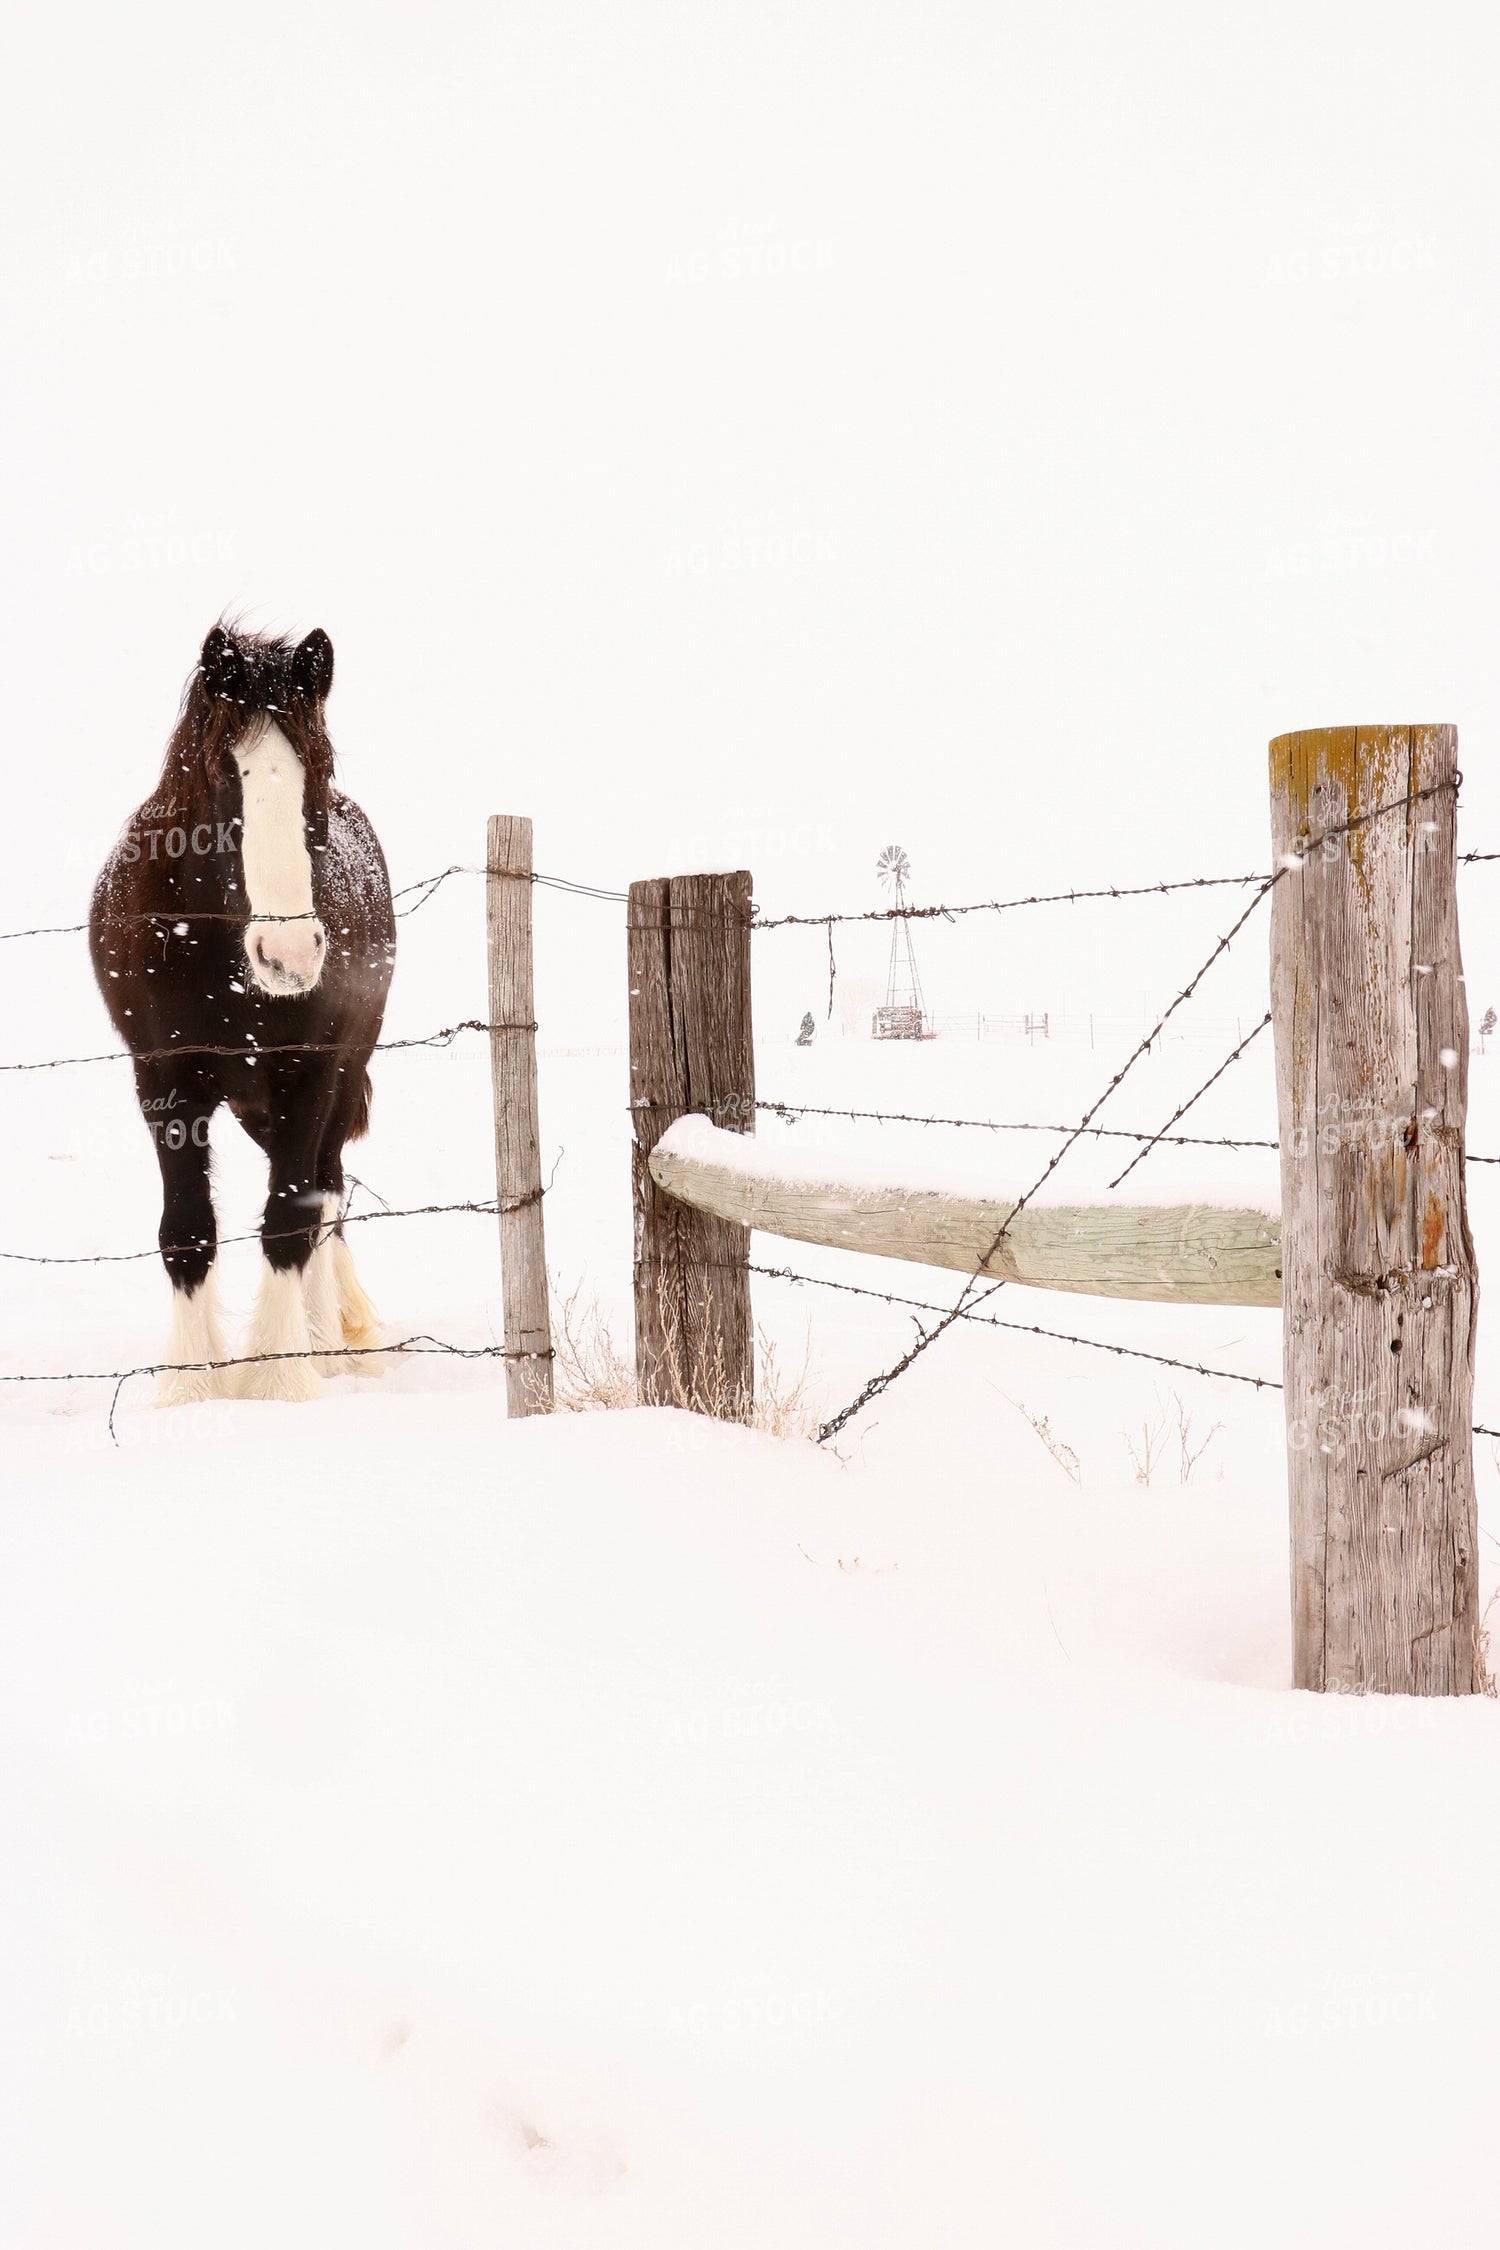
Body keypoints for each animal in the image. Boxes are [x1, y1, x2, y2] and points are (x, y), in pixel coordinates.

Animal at [89, 623, 397, 1403]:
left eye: (318, 767)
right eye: (223, 774)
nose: (288, 953)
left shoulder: (308, 1074)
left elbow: (289, 1218)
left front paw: (281, 1374)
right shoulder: (164, 1080)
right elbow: (187, 1227)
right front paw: (190, 1383)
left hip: (332, 1082)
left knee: (324, 1188)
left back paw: (329, 1340)